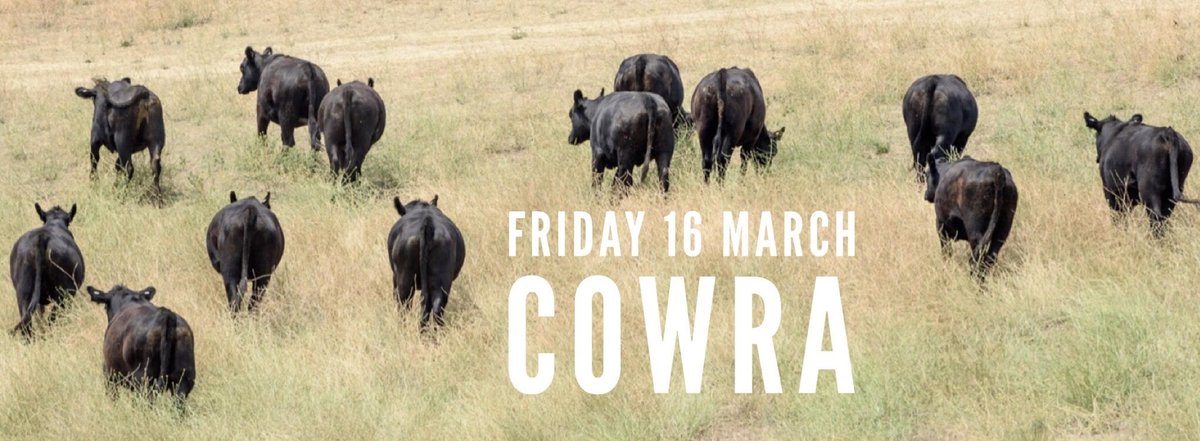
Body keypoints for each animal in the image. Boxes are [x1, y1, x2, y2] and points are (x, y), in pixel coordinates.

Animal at [924, 147, 1018, 277]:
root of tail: (996, 170)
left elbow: (946, 251)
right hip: (1003, 227)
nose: (926, 194)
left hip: (974, 228)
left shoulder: (940, 225)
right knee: (991, 255)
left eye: (926, 174)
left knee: (979, 256)